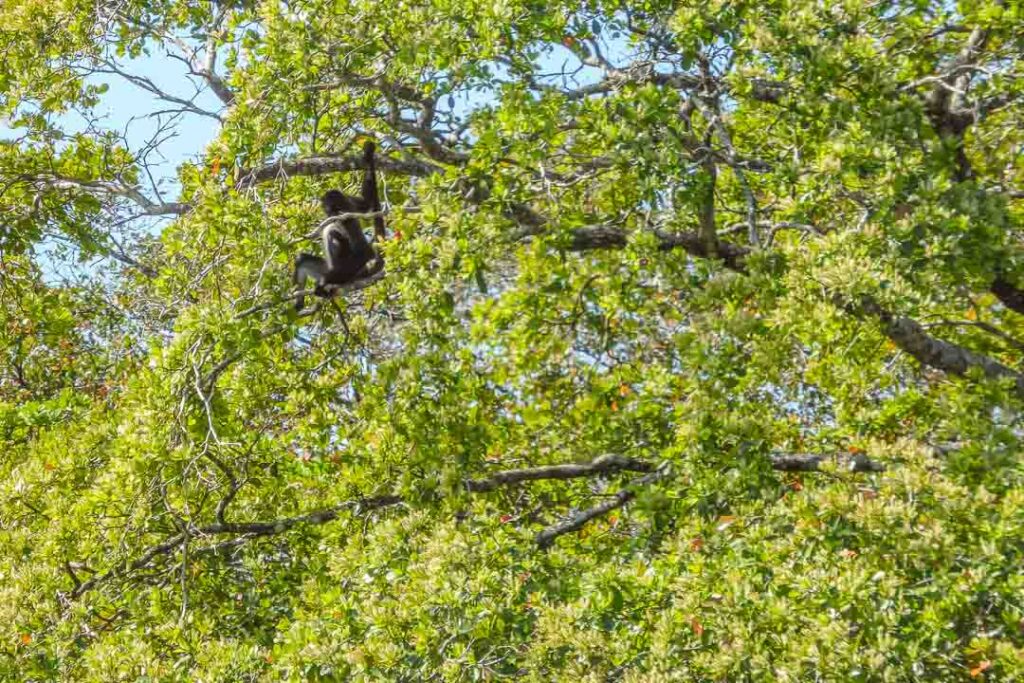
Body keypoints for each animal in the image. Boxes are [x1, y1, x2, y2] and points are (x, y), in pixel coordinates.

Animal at [293, 140, 387, 310]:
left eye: (326, 203)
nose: (322, 206)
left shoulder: (344, 216)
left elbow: (364, 252)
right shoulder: (350, 203)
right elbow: (367, 203)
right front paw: (368, 154)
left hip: (344, 272)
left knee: (333, 234)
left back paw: (324, 287)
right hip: (326, 269)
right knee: (302, 259)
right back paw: (298, 305)